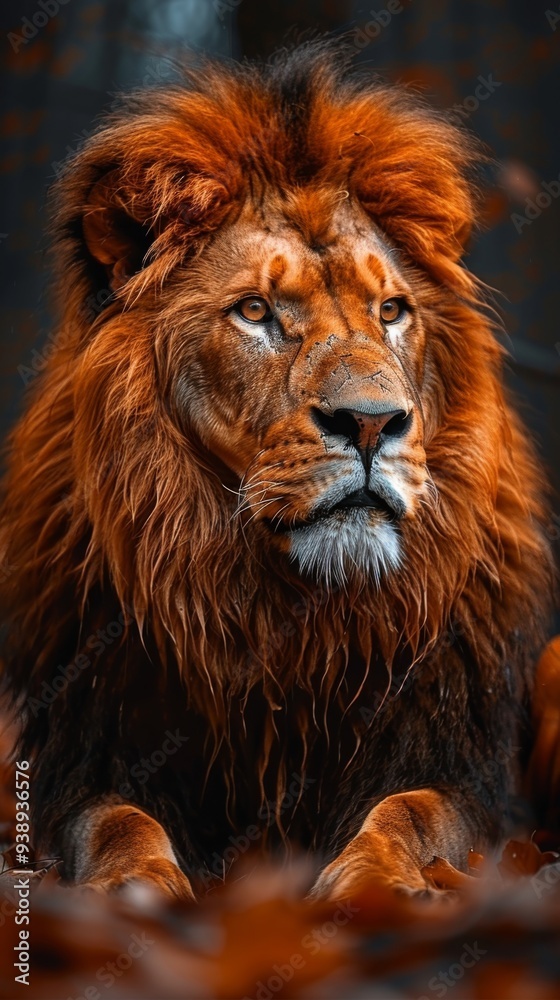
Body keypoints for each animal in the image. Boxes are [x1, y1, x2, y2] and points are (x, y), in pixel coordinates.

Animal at [0, 40, 555, 902]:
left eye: (391, 311)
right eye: (256, 311)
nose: (372, 422)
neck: (293, 621)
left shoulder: (462, 773)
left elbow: (411, 813)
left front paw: (374, 885)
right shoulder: (90, 756)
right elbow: (119, 824)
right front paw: (135, 891)